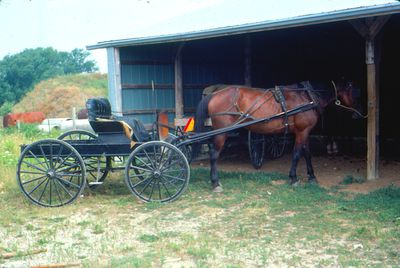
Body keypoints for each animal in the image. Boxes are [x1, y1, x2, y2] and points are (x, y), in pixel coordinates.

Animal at [192, 78, 358, 192]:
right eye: (352, 89)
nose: (356, 113)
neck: (307, 97)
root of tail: (214, 94)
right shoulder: (302, 132)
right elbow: (297, 154)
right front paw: (293, 178)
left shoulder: (304, 132)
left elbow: (307, 154)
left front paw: (312, 177)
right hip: (222, 133)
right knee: (214, 155)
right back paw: (215, 183)